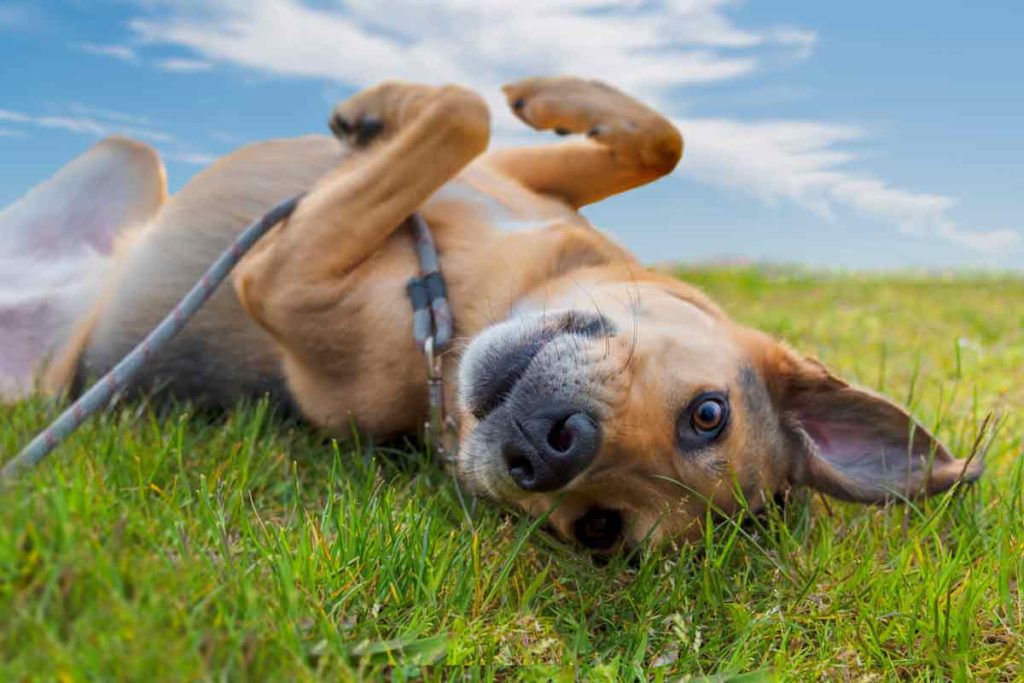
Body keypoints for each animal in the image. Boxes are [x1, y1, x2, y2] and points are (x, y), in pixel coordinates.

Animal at [2, 77, 983, 552]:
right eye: (711, 414)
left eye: (599, 531)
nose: (555, 449)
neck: (468, 302)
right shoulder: (524, 179)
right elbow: (647, 138)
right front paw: (520, 93)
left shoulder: (282, 276)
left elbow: (459, 118)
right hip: (129, 156)